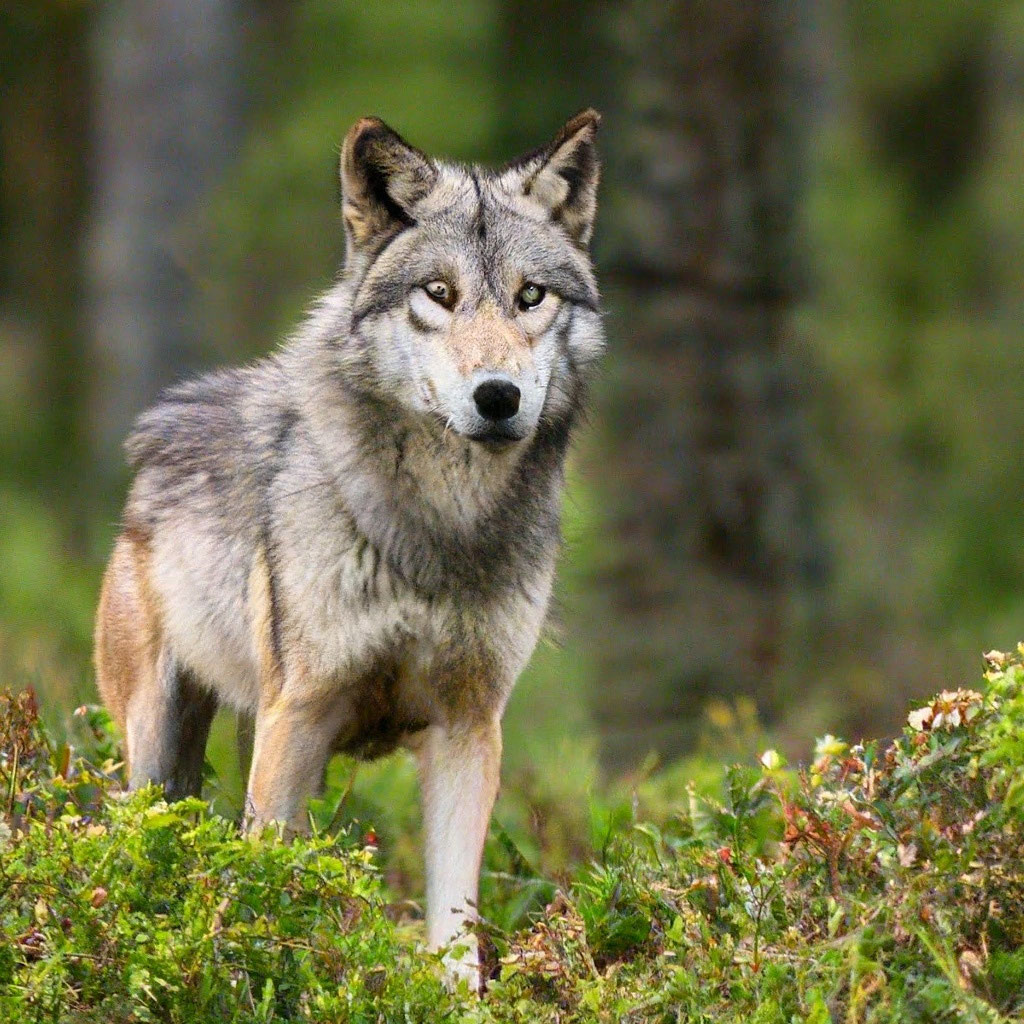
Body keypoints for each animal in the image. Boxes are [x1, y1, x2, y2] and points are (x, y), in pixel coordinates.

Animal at [93, 108, 602, 987]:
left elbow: (454, 922)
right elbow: (265, 883)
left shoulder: (470, 728)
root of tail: (164, 425)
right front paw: (254, 976)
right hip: (160, 754)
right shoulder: (298, 718)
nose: (497, 396)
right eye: (440, 295)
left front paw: (460, 999)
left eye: (530, 296)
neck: (443, 524)